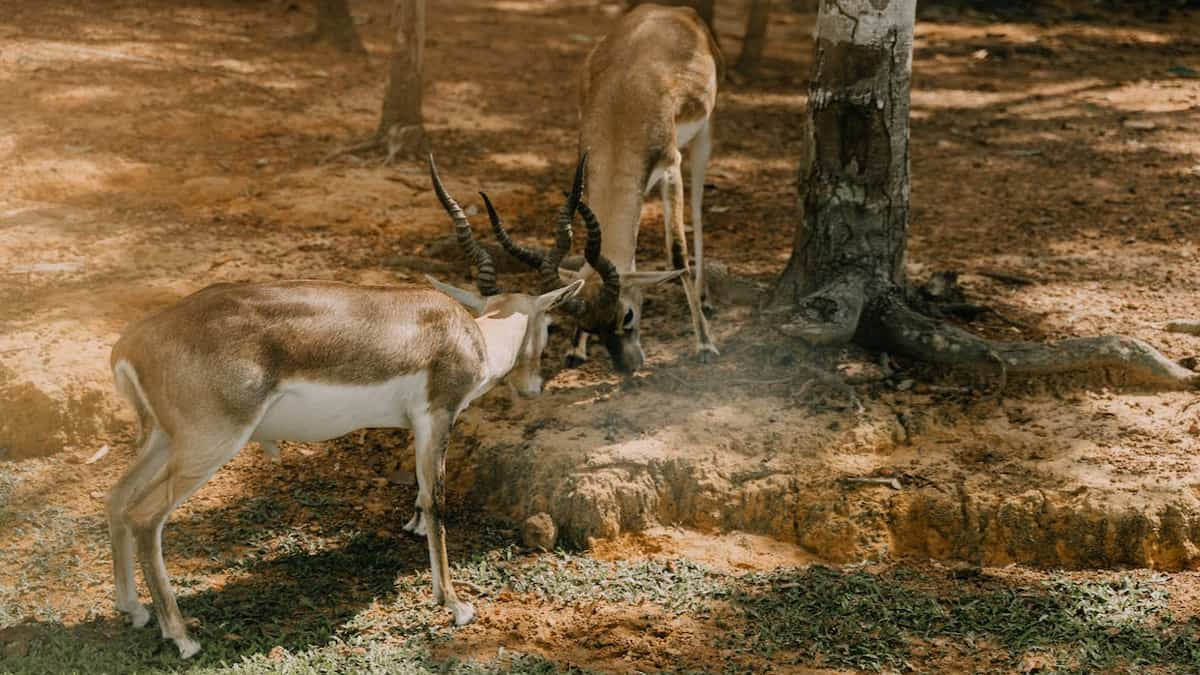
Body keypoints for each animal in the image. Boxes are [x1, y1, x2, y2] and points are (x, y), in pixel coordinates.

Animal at [104, 154, 604, 653]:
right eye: (550, 325)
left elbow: (421, 493)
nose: (533, 386)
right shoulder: (437, 416)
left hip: (162, 439)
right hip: (208, 445)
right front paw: (455, 605)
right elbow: (437, 500)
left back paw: (134, 610)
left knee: (117, 499)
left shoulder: (418, 426)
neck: (470, 335)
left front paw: (415, 531)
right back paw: (181, 636)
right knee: (145, 517)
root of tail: (133, 341)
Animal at [525, 5, 720, 369]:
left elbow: (677, 253)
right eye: (587, 325)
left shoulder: (670, 167)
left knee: (699, 210)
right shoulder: (589, 175)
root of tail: (677, 10)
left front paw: (704, 344)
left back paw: (706, 300)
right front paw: (576, 349)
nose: (628, 367)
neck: (623, 101)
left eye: (627, 315)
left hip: (704, 135)